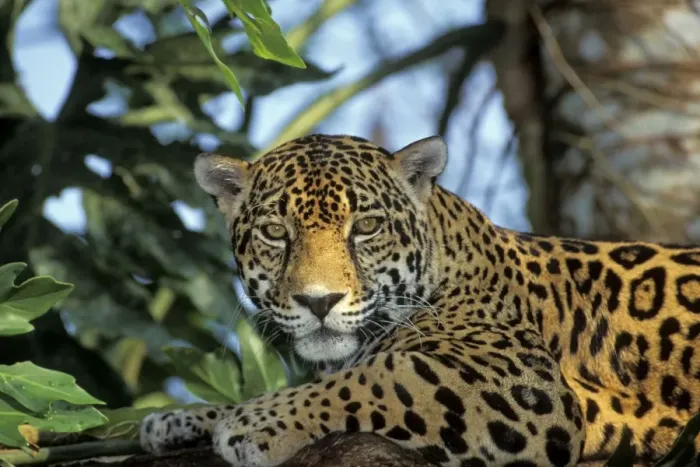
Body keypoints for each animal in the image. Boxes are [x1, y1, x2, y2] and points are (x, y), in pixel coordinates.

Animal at [139, 134, 700, 466]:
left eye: (366, 227)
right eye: (276, 233)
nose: (319, 302)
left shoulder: (520, 382)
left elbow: (378, 378)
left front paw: (254, 423)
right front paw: (179, 420)